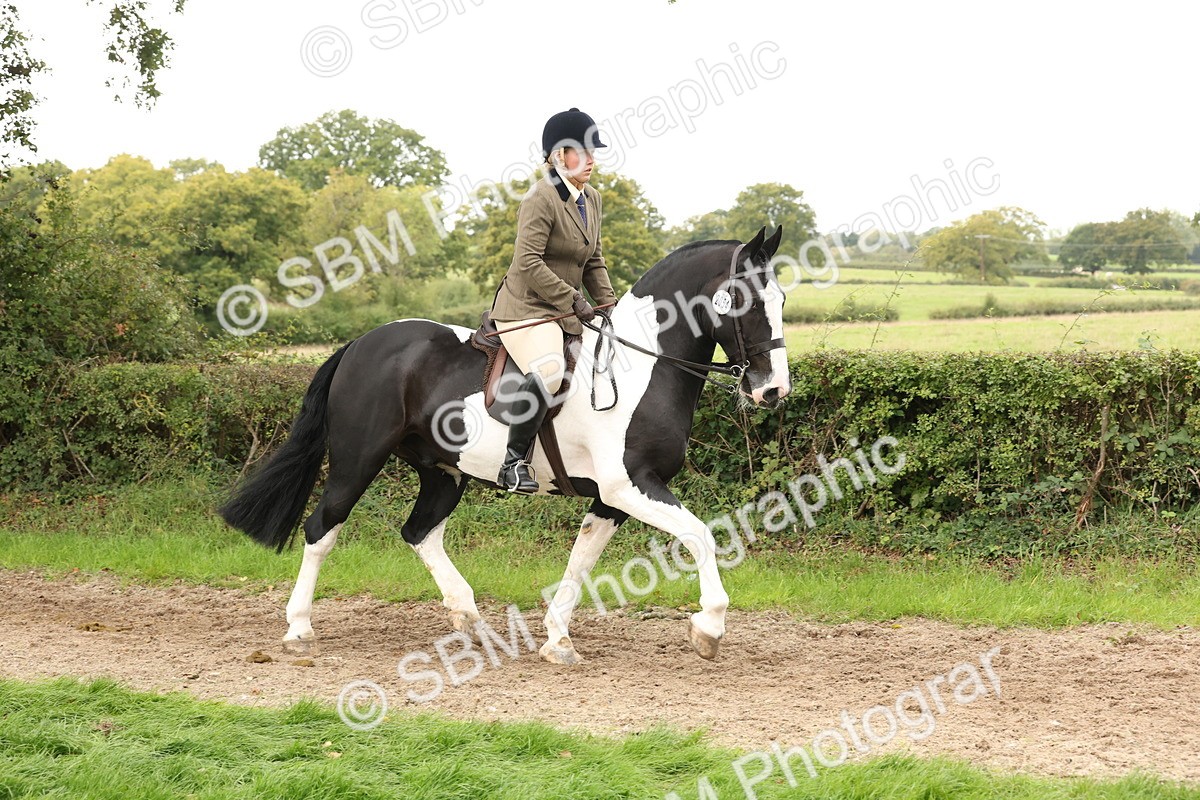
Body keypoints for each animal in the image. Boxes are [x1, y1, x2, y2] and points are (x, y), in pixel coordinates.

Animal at [218, 224, 791, 665]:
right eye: (745, 300)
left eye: (782, 299)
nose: (773, 391)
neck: (644, 364)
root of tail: (361, 343)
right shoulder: (630, 486)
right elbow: (702, 536)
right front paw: (708, 629)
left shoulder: (613, 499)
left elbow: (581, 560)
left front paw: (558, 640)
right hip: (357, 462)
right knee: (322, 528)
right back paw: (299, 629)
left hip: (443, 472)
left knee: (419, 532)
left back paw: (470, 619)